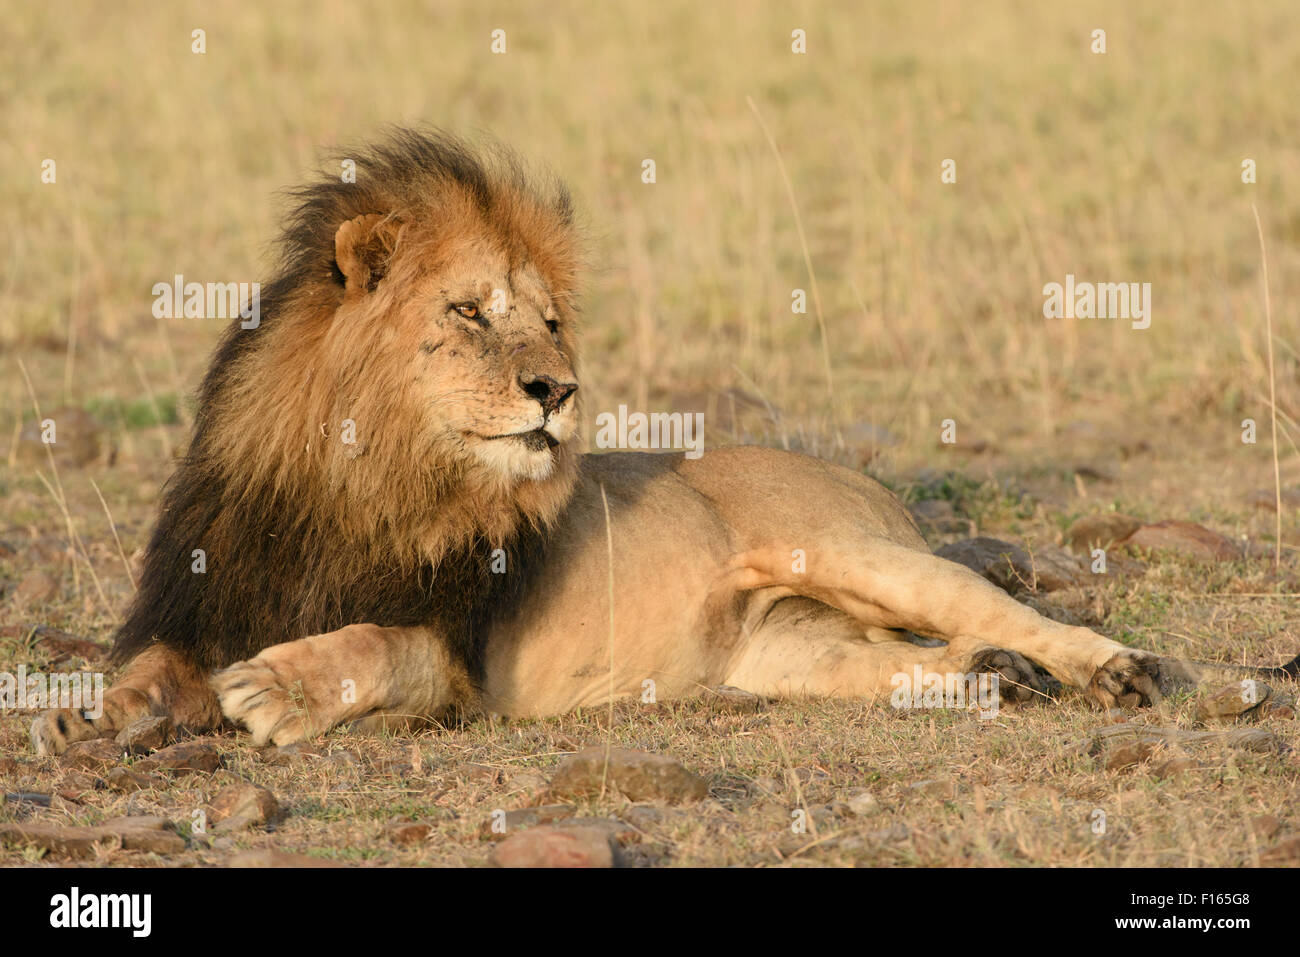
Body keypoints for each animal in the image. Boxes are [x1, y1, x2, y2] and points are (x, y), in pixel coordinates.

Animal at [30, 128, 1289, 754]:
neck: (361, 477)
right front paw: (92, 714)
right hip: (791, 655)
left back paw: (1111, 672)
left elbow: (368, 646)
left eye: (547, 320)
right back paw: (992, 683)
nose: (559, 390)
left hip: (861, 554)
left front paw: (271, 687)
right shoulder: (198, 601)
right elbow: (144, 668)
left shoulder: (457, 656)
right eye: (470, 312)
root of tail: (858, 478)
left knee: (1023, 615)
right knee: (919, 661)